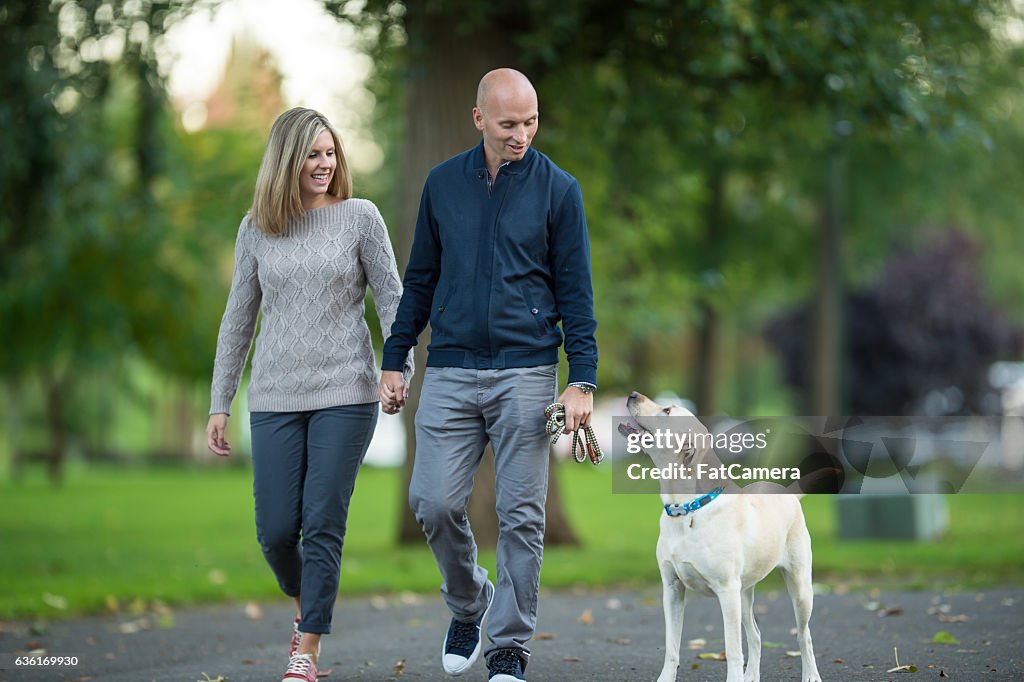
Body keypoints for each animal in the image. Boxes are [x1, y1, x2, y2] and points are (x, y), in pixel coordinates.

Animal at [614, 387, 823, 679]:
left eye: (667, 411)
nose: (632, 394)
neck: (687, 510)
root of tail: (788, 493)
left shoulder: (726, 590)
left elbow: (733, 649)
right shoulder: (672, 589)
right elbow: (671, 647)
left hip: (799, 586)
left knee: (805, 636)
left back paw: (811, 675)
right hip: (744, 592)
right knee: (756, 635)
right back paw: (751, 677)